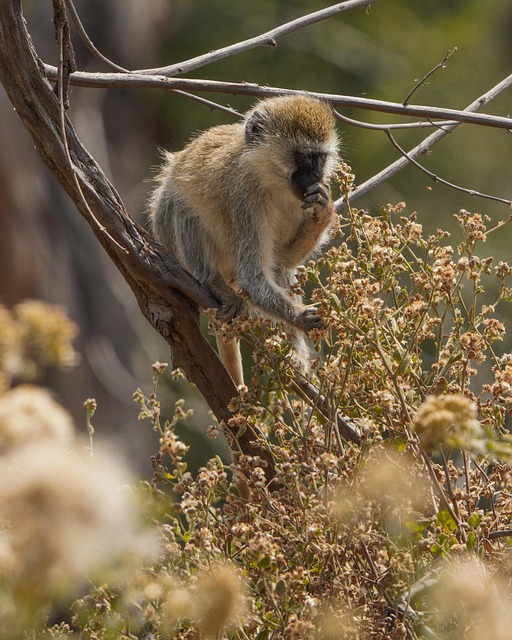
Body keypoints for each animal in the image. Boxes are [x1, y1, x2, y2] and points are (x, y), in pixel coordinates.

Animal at [148, 94, 339, 387]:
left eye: (320, 158)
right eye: (302, 157)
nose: (318, 176)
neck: (270, 179)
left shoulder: (300, 199)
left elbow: (284, 259)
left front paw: (324, 209)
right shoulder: (243, 196)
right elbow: (252, 275)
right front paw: (300, 317)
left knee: (281, 269)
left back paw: (295, 357)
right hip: (168, 231)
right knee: (181, 208)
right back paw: (211, 282)